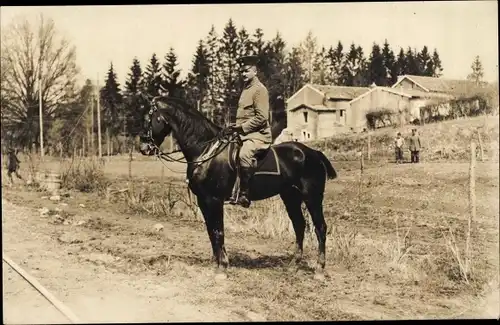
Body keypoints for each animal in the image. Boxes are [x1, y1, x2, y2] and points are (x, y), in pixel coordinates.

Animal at [139, 95, 338, 278]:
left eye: (149, 118)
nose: (143, 148)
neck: (206, 150)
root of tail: (313, 153)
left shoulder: (214, 200)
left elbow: (218, 230)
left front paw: (222, 267)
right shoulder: (203, 200)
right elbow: (210, 231)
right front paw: (216, 263)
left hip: (312, 197)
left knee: (320, 227)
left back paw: (319, 268)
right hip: (290, 197)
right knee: (299, 225)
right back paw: (294, 264)